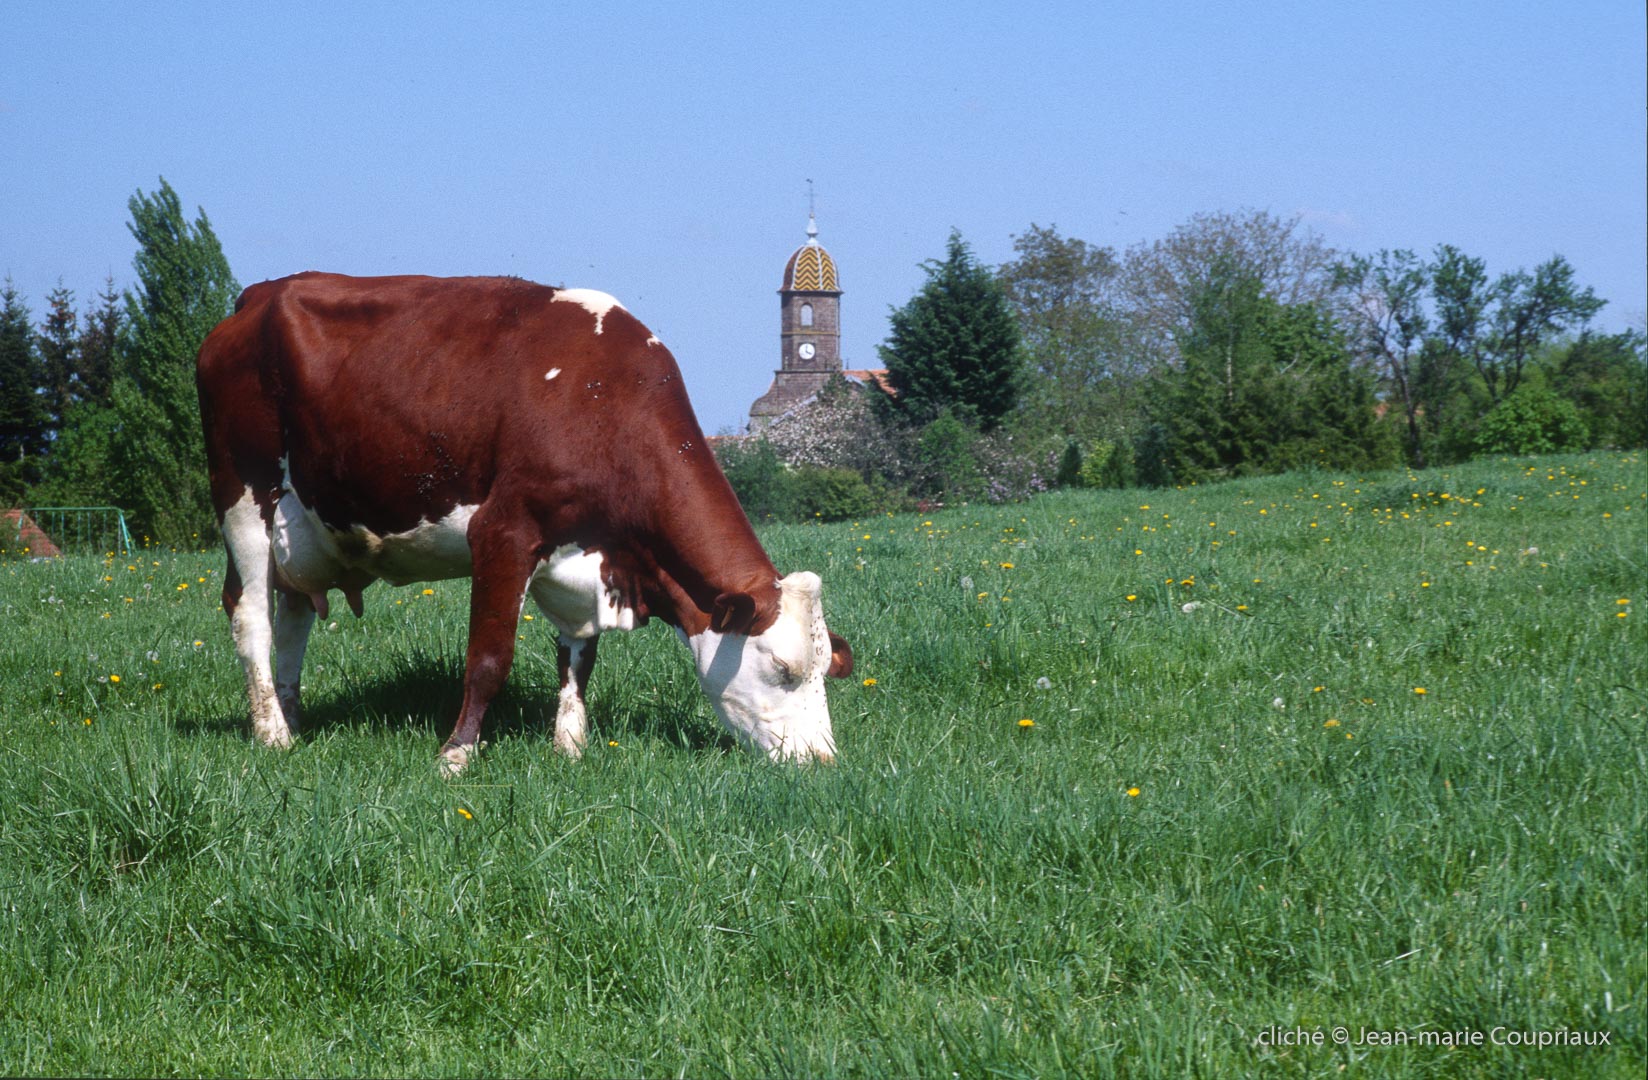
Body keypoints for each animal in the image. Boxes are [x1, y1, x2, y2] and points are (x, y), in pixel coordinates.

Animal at [196, 272, 852, 773]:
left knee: (294, 615)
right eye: (784, 669)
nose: (823, 761)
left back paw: (290, 716)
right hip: (243, 497)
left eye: (829, 670)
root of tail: (260, 295)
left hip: (302, 526)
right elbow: (489, 660)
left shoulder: (585, 559)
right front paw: (456, 755)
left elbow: (579, 660)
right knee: (250, 615)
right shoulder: (502, 533)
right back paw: (271, 734)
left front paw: (571, 745)